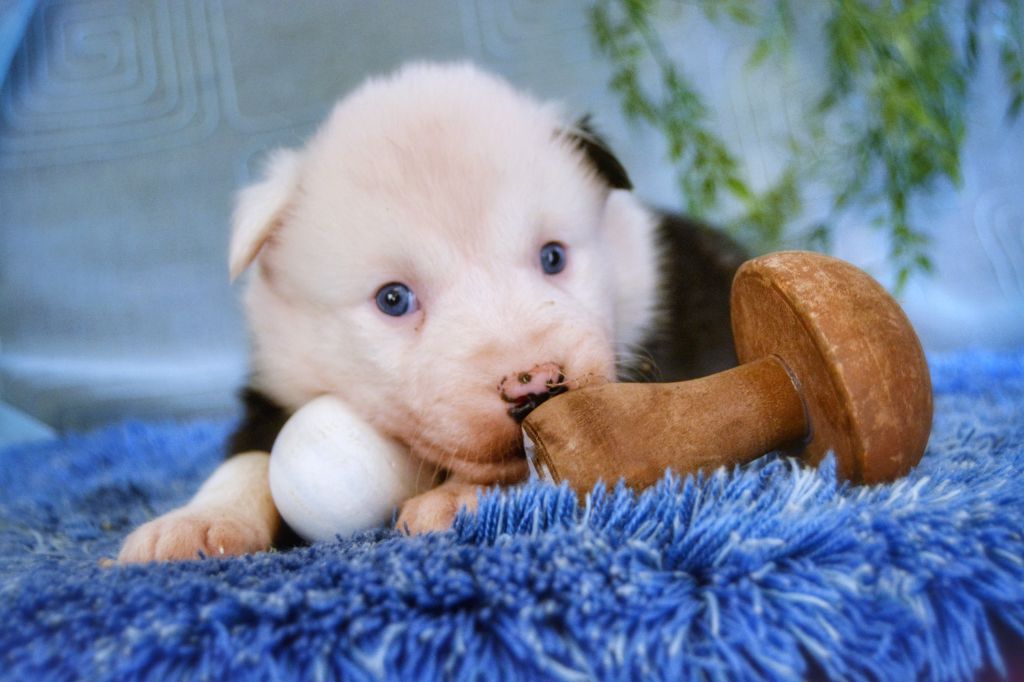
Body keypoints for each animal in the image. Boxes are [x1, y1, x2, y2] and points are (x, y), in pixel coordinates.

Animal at [118, 62, 743, 562]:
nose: (534, 385)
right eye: (393, 299)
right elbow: (248, 455)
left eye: (553, 257)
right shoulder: (276, 383)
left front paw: (456, 497)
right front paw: (194, 523)